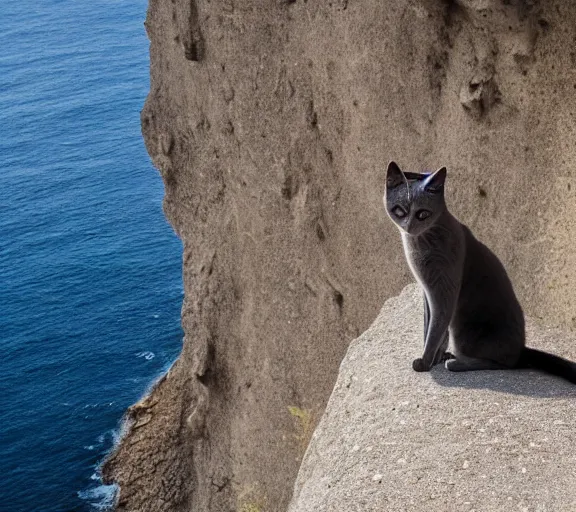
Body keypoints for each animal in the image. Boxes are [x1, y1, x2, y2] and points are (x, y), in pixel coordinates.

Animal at [382, 161, 576, 384]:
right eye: (399, 210)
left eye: (422, 213)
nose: (409, 226)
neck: (419, 243)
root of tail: (521, 349)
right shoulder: (426, 290)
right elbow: (429, 325)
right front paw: (435, 358)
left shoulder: (444, 286)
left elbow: (435, 327)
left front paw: (424, 362)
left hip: (464, 330)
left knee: (504, 364)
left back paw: (457, 363)